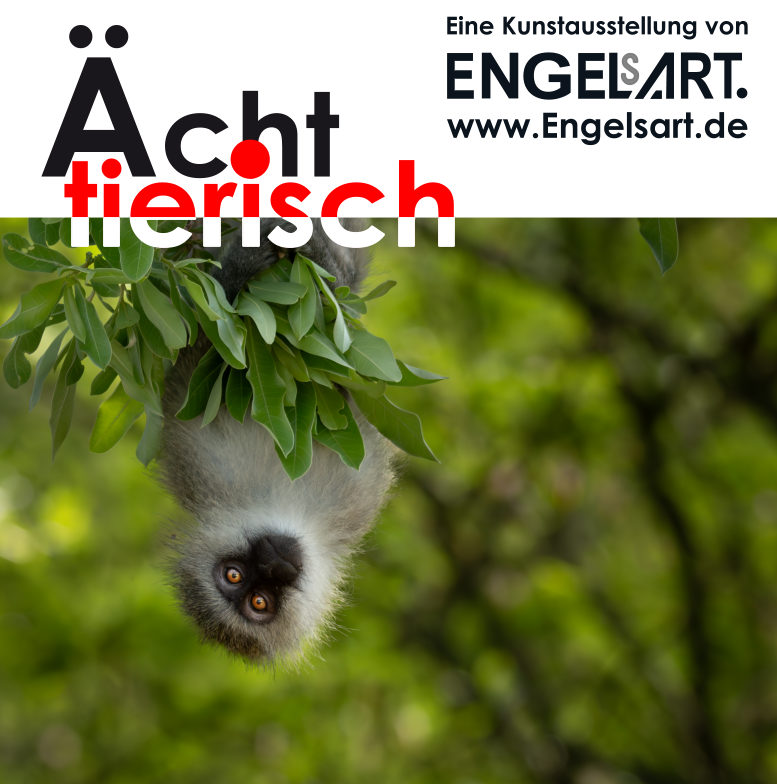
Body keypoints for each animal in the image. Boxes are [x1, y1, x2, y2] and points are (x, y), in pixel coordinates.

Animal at [158, 219, 397, 664]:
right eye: (253, 596)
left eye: (237, 578)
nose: (273, 564)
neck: (286, 502)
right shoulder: (203, 464)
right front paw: (240, 268)